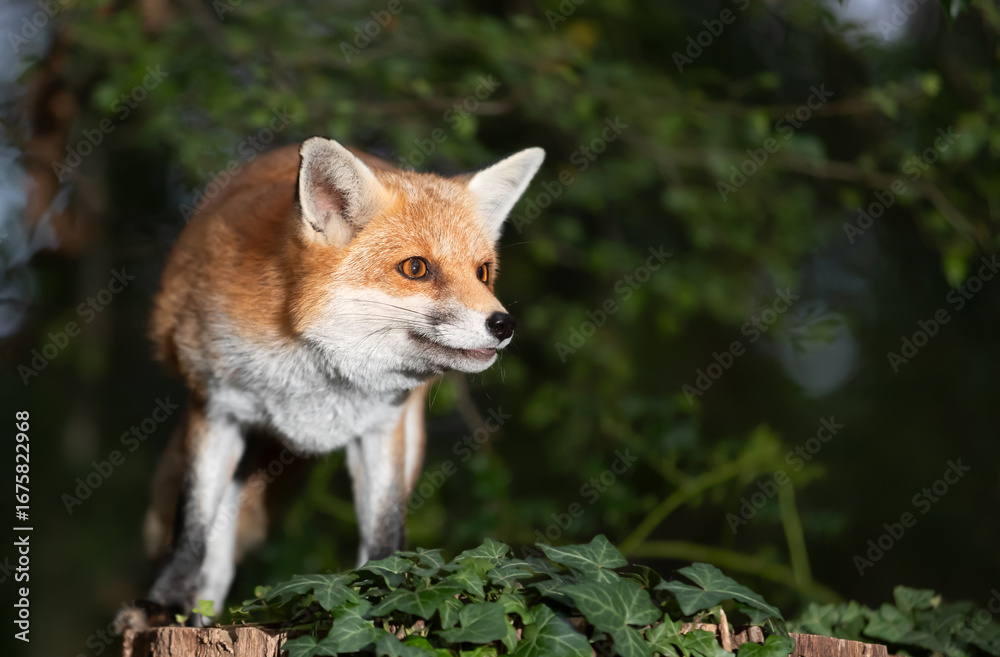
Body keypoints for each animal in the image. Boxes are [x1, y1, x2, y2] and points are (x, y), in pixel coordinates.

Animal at [139, 137, 544, 623]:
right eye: (415, 268)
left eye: (482, 272)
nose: (504, 324)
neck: (316, 378)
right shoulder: (216, 409)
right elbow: (192, 522)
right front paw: (166, 600)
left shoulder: (383, 426)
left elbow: (385, 529)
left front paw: (388, 591)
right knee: (216, 549)